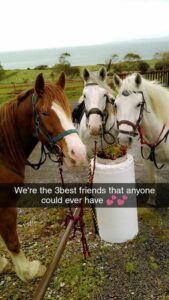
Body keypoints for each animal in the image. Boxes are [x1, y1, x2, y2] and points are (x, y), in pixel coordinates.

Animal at [0, 72, 86, 282]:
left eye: (68, 109)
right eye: (45, 113)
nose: (79, 153)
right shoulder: (6, 205)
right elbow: (12, 241)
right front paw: (27, 272)